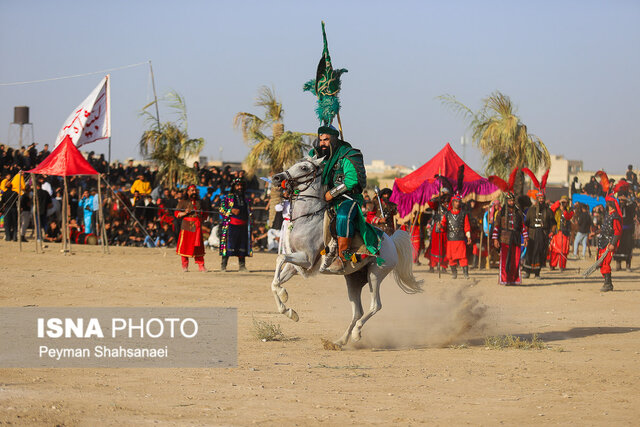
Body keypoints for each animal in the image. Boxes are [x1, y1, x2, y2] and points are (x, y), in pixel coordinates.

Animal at [268, 155, 422, 346]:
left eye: (304, 167)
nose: (277, 178)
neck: (307, 219)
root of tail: (391, 242)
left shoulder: (307, 259)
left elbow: (280, 258)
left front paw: (284, 296)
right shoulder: (295, 265)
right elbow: (275, 278)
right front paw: (290, 311)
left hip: (375, 275)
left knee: (375, 306)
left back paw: (356, 333)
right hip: (353, 279)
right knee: (357, 311)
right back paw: (340, 341)